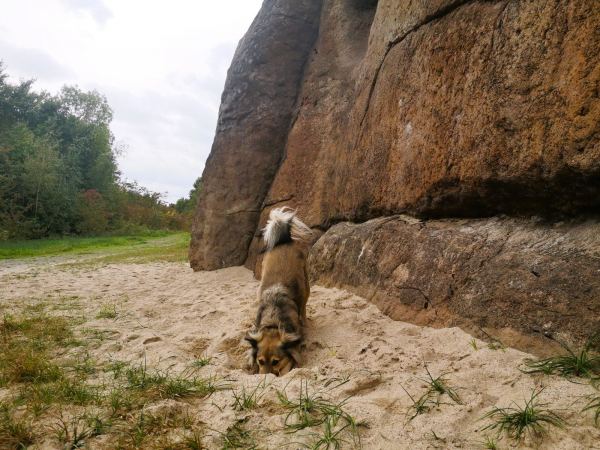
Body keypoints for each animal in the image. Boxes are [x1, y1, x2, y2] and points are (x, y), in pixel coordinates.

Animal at [245, 207, 312, 376]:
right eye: (260, 361)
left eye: (276, 361)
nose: (265, 378)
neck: (273, 323)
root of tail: (284, 240)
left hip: (306, 285)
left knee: (303, 306)